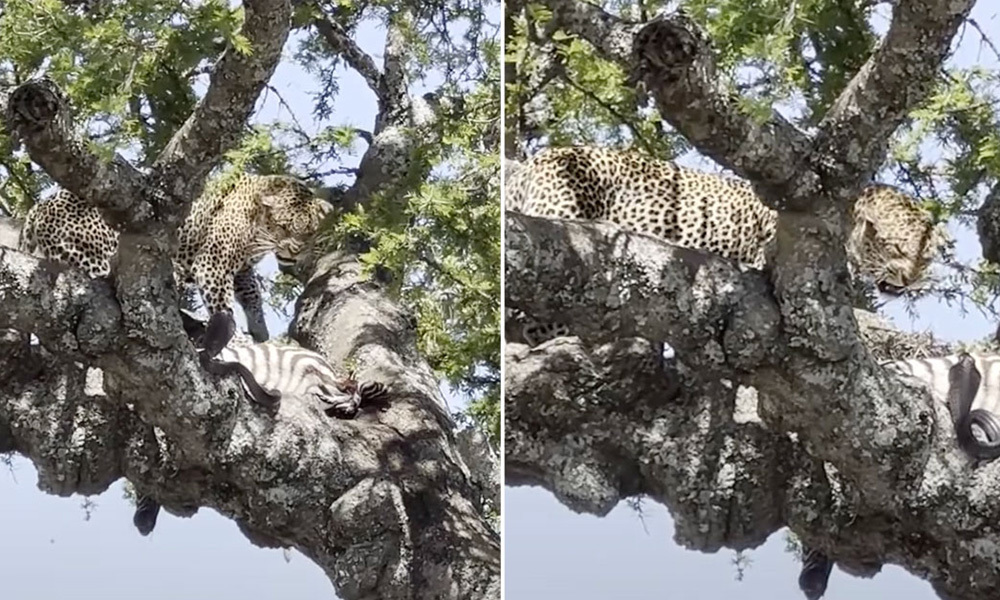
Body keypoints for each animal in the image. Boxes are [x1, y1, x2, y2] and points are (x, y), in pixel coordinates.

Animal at [19, 173, 332, 350]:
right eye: (283, 227)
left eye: (309, 231)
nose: (294, 250)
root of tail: (38, 209)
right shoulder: (213, 262)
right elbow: (223, 306)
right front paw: (235, 335)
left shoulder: (243, 269)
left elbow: (252, 297)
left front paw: (260, 331)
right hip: (97, 255)